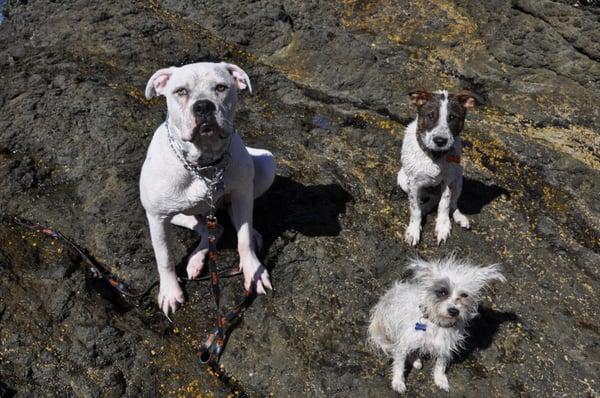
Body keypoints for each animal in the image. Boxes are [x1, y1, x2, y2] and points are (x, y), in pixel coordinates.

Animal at [141, 62, 274, 316]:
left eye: (221, 87)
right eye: (180, 91)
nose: (203, 106)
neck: (203, 163)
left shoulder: (242, 193)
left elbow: (243, 240)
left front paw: (253, 271)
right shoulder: (157, 217)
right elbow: (164, 257)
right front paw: (170, 291)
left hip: (266, 165)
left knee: (227, 221)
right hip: (173, 214)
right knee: (210, 228)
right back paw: (196, 261)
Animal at [368, 256, 504, 394]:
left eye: (464, 295)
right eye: (442, 292)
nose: (454, 311)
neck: (438, 323)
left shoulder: (445, 346)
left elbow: (440, 365)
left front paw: (440, 380)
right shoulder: (404, 343)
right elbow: (399, 365)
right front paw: (398, 382)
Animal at [396, 89, 476, 246]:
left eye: (452, 117)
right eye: (430, 115)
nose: (440, 141)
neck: (435, 156)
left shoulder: (448, 181)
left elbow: (444, 204)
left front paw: (443, 227)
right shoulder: (413, 183)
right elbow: (415, 209)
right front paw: (413, 231)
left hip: (458, 178)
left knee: (452, 204)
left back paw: (459, 217)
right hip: (402, 179)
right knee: (430, 199)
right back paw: (425, 208)